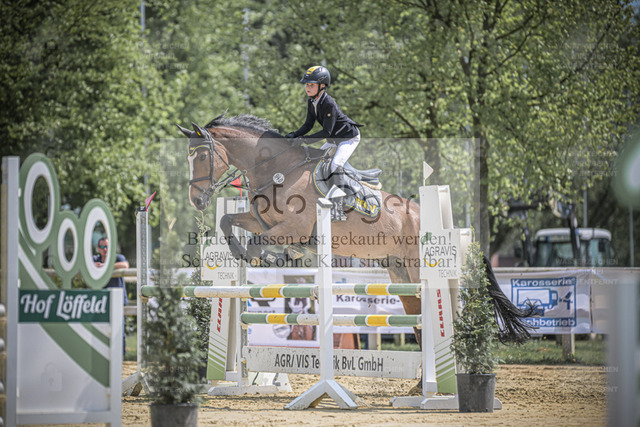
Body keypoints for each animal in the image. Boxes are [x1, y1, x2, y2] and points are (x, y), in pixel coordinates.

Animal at [177, 112, 534, 354]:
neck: (278, 170)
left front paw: (262, 257)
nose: (196, 200)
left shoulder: (292, 228)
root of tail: (452, 226)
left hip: (417, 268)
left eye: (204, 155)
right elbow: (228, 222)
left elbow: (259, 242)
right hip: (400, 273)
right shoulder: (258, 218)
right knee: (417, 321)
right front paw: (241, 253)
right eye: (188, 157)